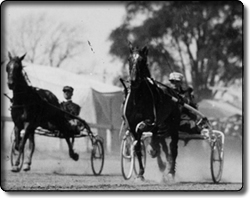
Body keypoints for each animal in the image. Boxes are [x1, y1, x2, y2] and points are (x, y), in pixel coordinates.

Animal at [123, 43, 182, 181]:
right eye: (129, 59)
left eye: (142, 60)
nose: (134, 80)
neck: (137, 99)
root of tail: (174, 92)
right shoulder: (132, 125)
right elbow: (138, 146)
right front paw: (140, 173)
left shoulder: (151, 120)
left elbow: (143, 126)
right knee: (160, 141)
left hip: (174, 124)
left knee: (173, 147)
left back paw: (170, 171)